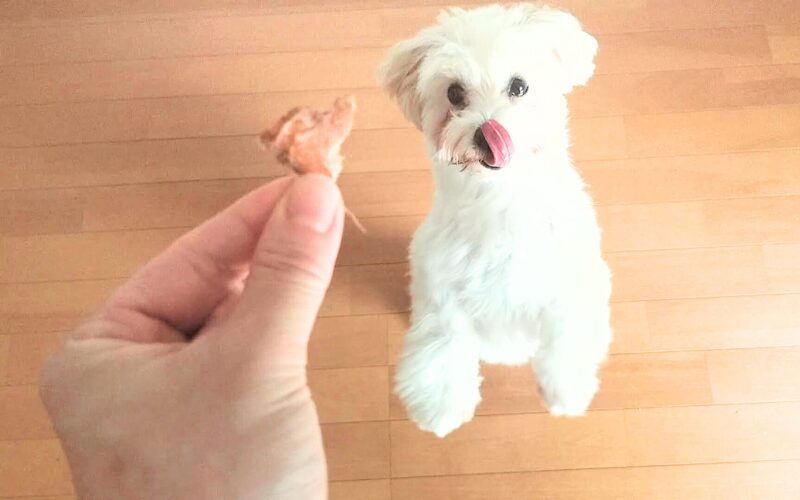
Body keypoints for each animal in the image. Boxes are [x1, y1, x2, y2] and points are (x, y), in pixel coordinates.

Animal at [382, 3, 612, 436]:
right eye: (455, 93)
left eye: (519, 86)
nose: (487, 133)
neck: (501, 199)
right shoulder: (440, 279)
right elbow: (443, 333)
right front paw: (442, 403)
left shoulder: (573, 272)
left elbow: (568, 323)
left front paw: (565, 386)